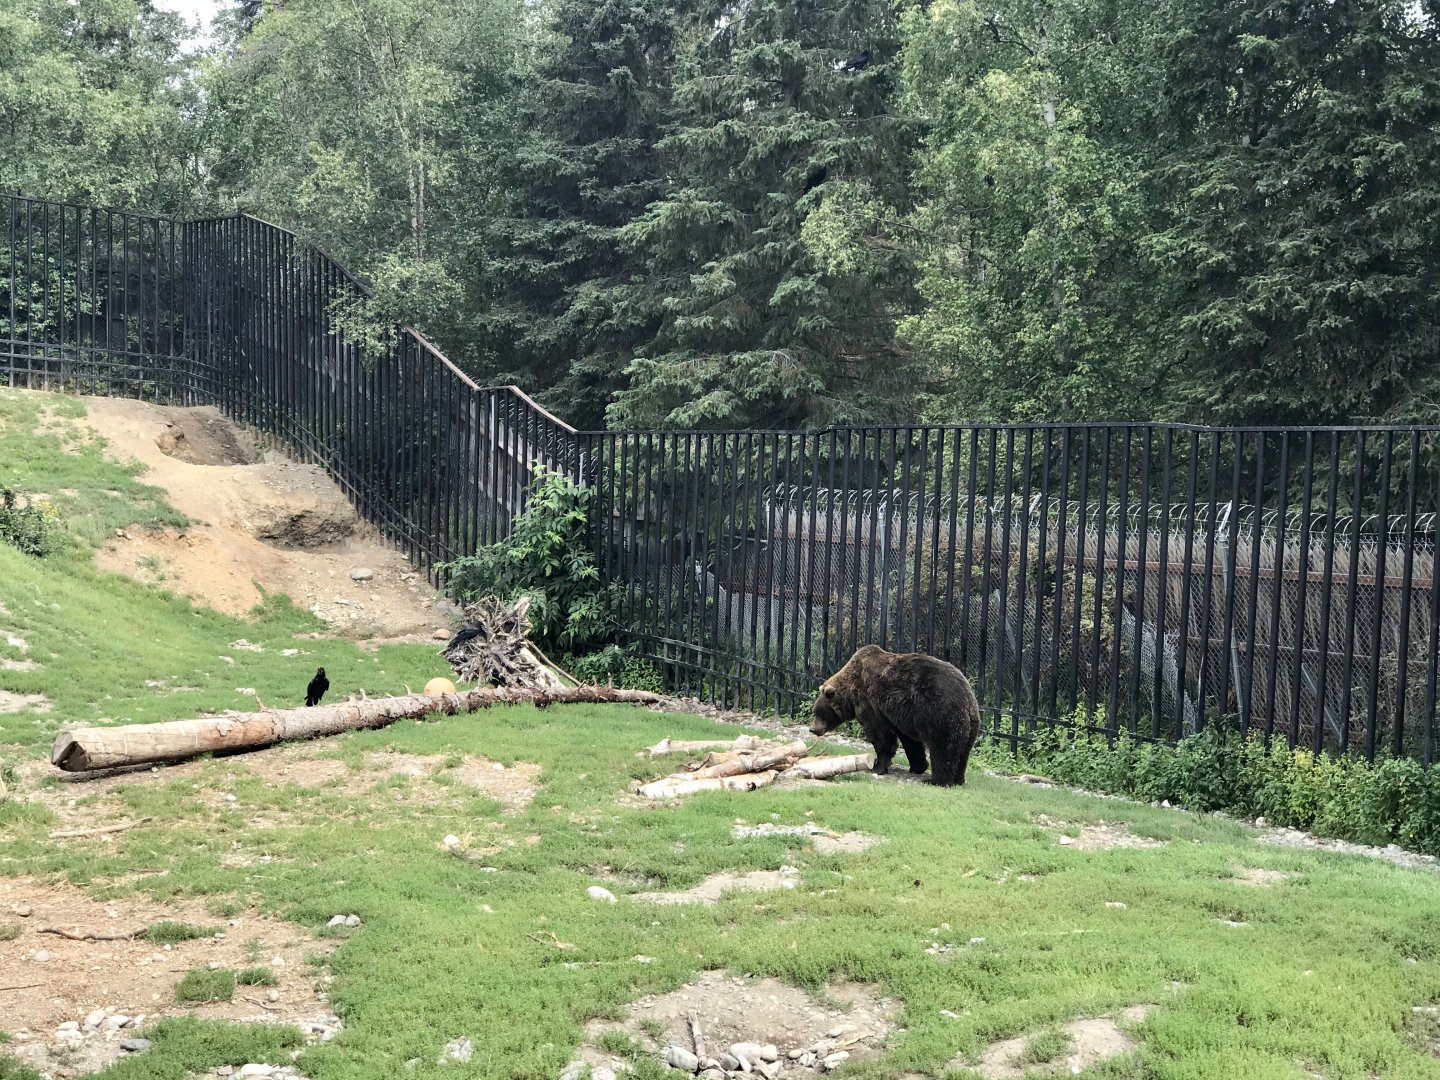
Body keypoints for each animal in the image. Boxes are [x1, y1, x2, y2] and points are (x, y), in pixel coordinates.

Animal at [810, 644, 980, 787]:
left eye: (819, 713)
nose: (813, 729)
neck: (851, 694)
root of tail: (967, 696)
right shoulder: (901, 715)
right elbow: (910, 741)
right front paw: (918, 766)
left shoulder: (870, 703)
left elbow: (880, 735)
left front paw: (878, 766)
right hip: (970, 724)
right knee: (963, 751)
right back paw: (958, 779)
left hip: (940, 713)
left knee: (942, 748)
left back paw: (937, 780)